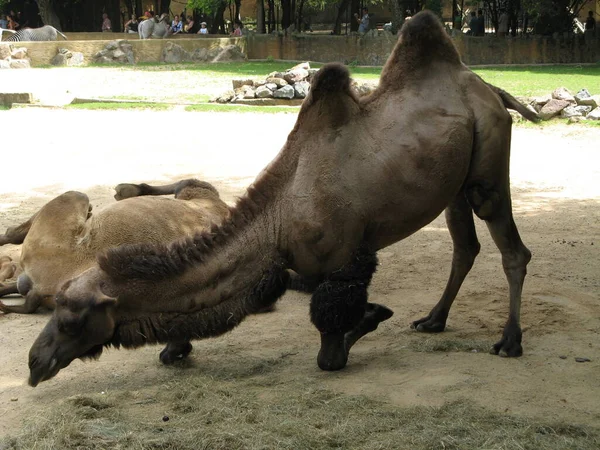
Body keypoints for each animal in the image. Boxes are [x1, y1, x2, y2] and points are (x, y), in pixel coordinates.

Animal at [28, 12, 536, 388]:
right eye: (57, 310)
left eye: (71, 320)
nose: (34, 363)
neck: (276, 223)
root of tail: (488, 87)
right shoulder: (297, 268)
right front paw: (176, 348)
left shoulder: (344, 261)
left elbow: (331, 346)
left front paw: (372, 318)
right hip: (454, 184)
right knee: (464, 246)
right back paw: (433, 319)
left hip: (488, 163)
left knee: (511, 247)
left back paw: (509, 341)